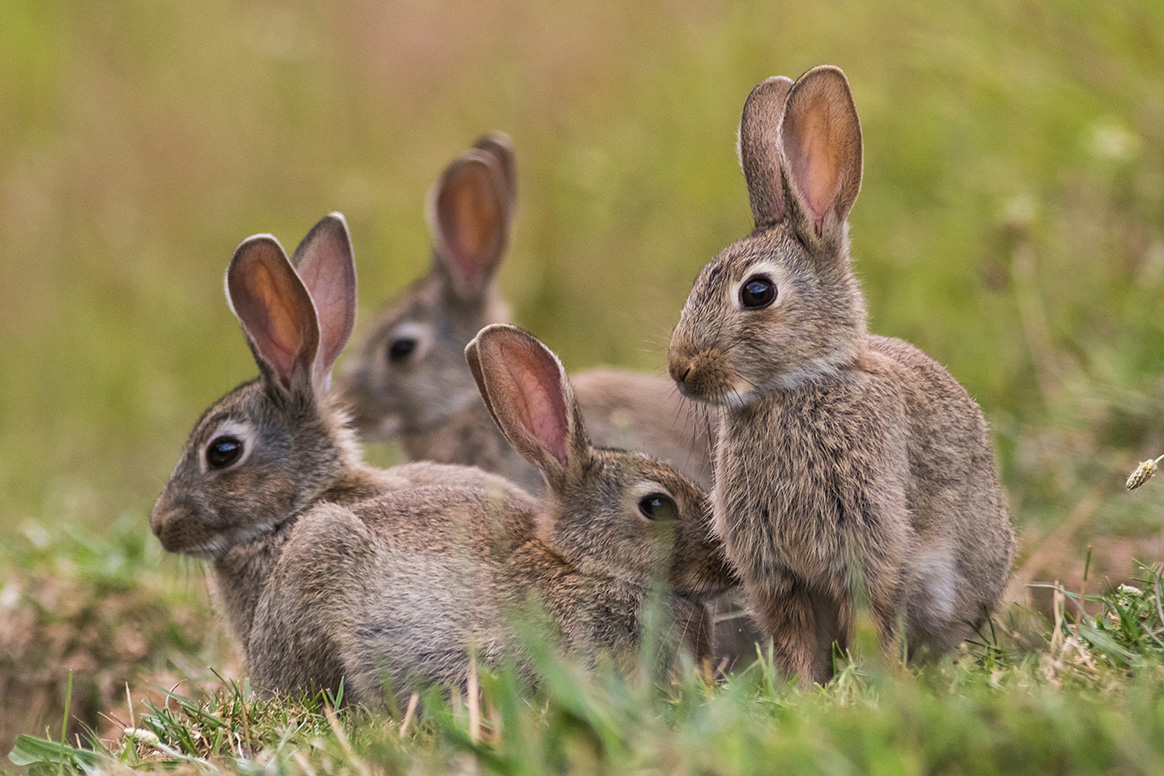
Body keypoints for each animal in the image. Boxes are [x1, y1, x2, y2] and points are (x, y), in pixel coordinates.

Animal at [670, 66, 1015, 684]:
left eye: (757, 292)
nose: (678, 368)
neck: (798, 386)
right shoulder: (777, 576)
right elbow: (794, 638)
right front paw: (802, 692)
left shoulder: (869, 547)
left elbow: (870, 620)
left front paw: (873, 685)